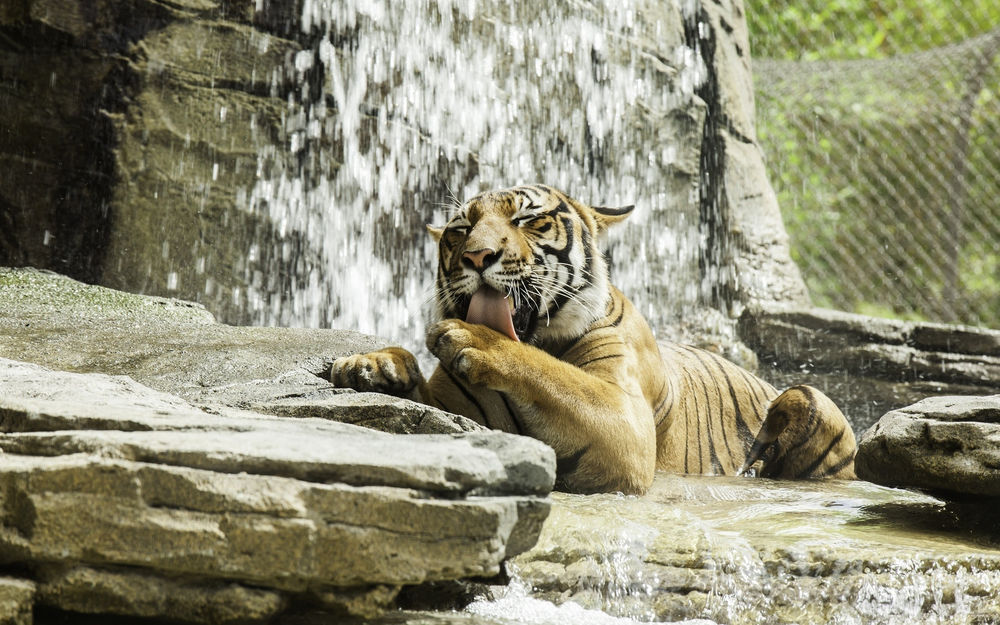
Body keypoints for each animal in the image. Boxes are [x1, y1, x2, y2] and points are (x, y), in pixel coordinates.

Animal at [330, 185, 860, 492]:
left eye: (527, 220)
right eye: (460, 229)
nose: (477, 256)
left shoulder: (625, 417)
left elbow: (553, 373)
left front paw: (474, 339)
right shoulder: (454, 406)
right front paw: (373, 365)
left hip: (806, 398)